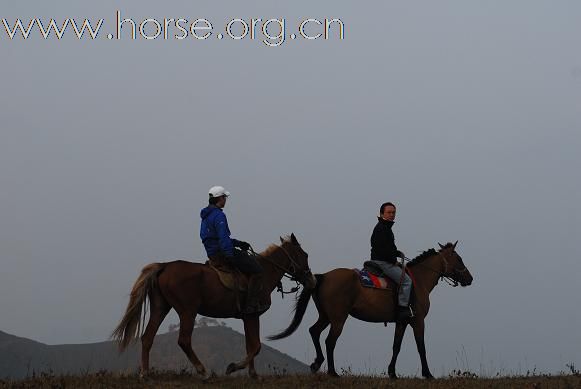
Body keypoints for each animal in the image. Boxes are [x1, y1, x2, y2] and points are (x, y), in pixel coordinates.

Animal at [111, 233, 314, 378]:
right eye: (305, 255)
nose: (311, 279)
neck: (264, 273)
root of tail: (165, 266)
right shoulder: (252, 315)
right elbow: (256, 346)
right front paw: (233, 367)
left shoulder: (247, 318)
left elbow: (250, 345)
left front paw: (253, 374)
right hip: (187, 311)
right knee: (183, 340)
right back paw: (203, 372)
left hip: (161, 308)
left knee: (147, 338)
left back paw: (145, 374)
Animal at [270, 241, 474, 378]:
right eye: (458, 258)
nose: (470, 278)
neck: (419, 281)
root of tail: (324, 276)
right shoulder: (418, 321)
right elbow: (421, 346)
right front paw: (428, 374)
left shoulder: (402, 321)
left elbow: (396, 346)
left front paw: (392, 373)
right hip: (338, 318)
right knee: (329, 341)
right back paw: (332, 371)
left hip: (326, 316)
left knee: (314, 331)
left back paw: (316, 363)